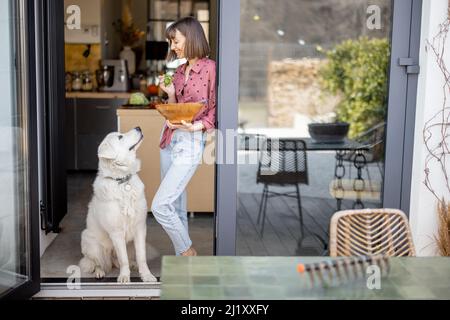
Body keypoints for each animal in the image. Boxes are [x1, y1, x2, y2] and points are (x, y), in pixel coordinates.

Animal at [80, 127, 157, 282]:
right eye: (120, 137)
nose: (138, 127)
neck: (122, 181)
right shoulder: (116, 232)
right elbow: (123, 259)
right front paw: (124, 277)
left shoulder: (140, 228)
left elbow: (141, 257)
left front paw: (146, 275)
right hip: (90, 241)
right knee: (99, 263)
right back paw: (99, 272)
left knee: (118, 260)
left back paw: (133, 265)